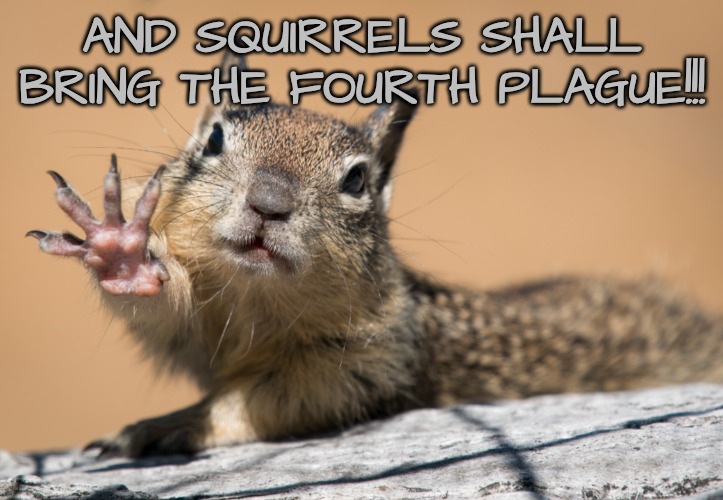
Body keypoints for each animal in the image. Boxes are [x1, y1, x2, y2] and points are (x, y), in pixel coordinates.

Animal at [28, 52, 723, 457]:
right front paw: (122, 252)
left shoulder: (371, 360)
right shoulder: (198, 331)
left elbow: (272, 401)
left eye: (357, 180)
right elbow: (166, 309)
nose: (269, 203)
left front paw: (173, 424)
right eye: (215, 140)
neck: (256, 300)